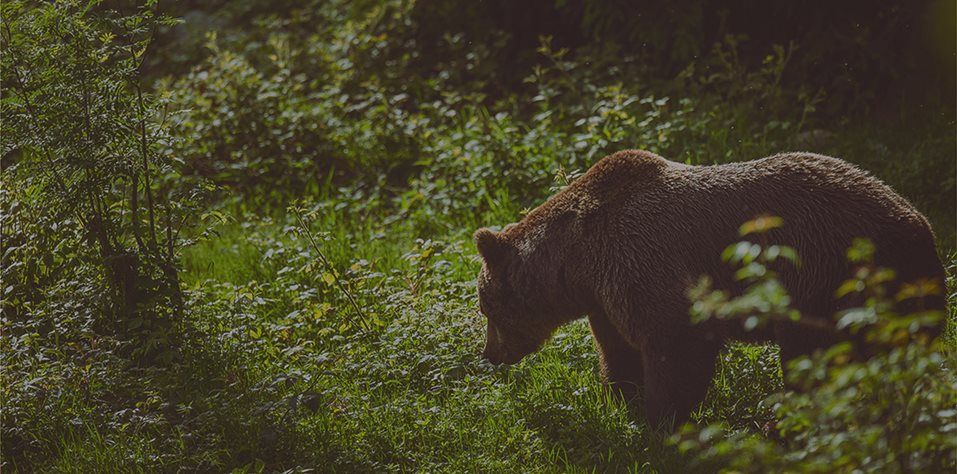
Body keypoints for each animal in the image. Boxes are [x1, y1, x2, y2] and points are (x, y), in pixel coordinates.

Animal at [474, 149, 944, 426]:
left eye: (486, 308)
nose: (490, 353)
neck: (577, 261)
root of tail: (920, 223)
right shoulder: (605, 299)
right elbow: (618, 352)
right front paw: (618, 402)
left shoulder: (644, 262)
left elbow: (675, 347)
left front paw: (663, 422)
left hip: (826, 275)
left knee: (812, 357)